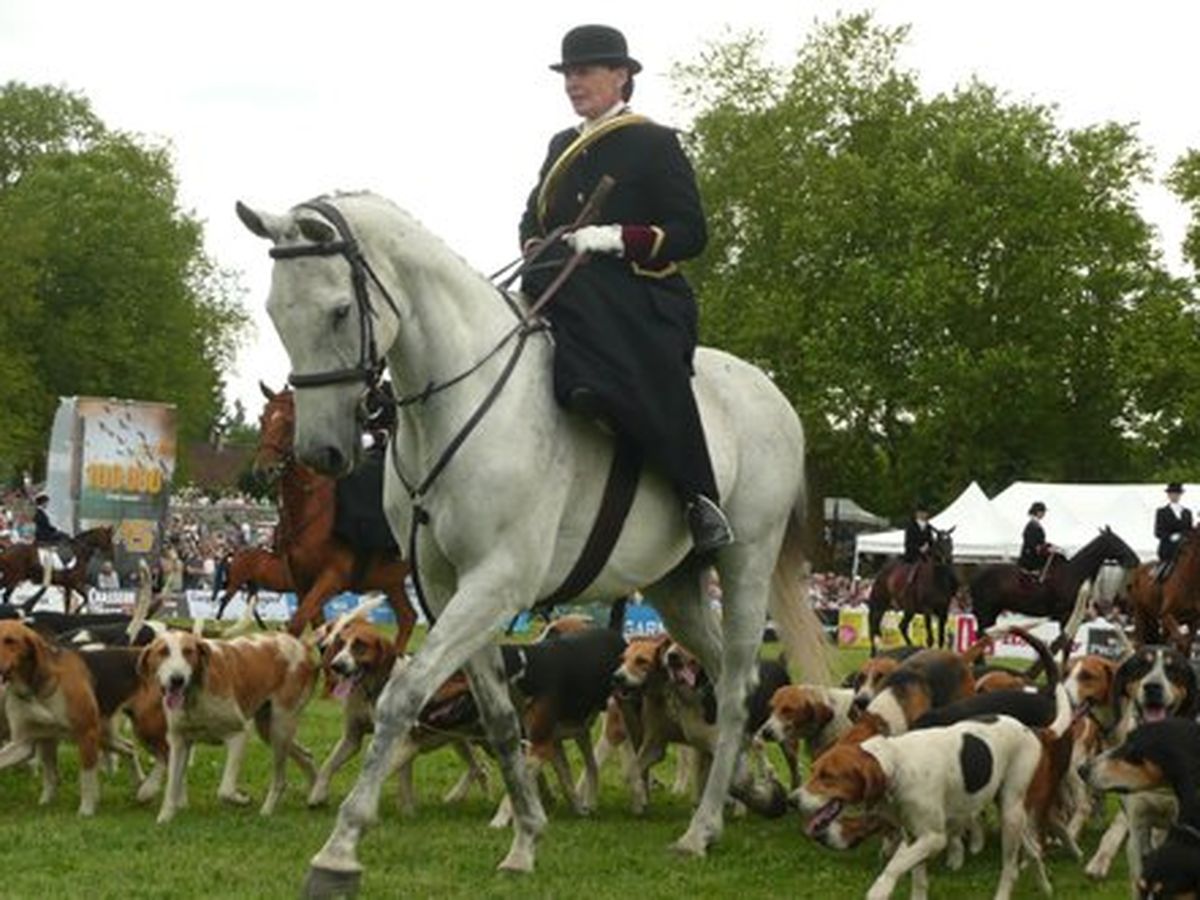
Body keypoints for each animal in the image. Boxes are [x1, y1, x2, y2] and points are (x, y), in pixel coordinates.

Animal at [258, 381, 417, 648]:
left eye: (291, 422)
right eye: (262, 419)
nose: (264, 470)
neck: (310, 505)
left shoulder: (332, 578)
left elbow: (296, 625)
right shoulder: (301, 581)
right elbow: (316, 630)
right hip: (391, 580)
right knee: (408, 617)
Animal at [969, 528, 1137, 633]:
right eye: (1117, 541)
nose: (1135, 560)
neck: (1074, 572)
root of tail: (977, 572)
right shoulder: (1064, 617)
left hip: (993, 611)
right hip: (985, 611)